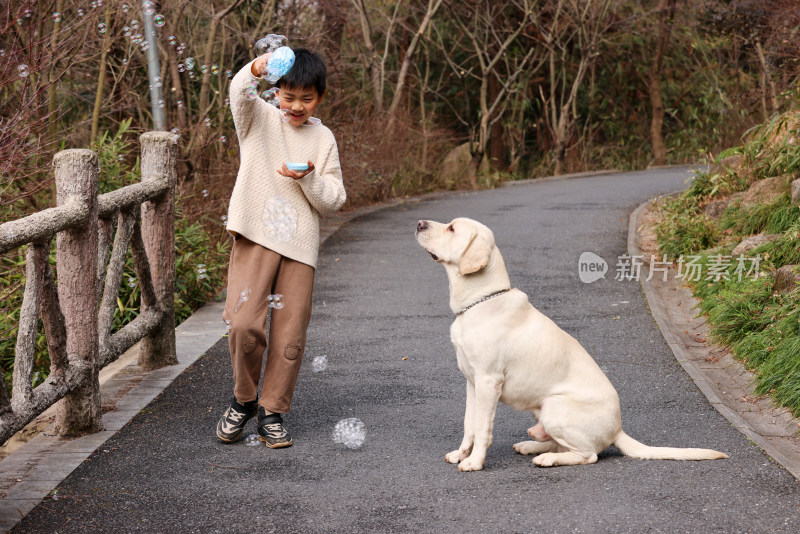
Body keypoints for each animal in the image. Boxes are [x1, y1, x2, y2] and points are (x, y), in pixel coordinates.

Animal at [416, 218, 728, 474]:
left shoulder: (488, 382)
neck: (480, 301)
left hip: (555, 408)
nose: (419, 223)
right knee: (561, 444)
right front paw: (461, 454)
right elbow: (469, 425)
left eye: (452, 228)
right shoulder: (472, 382)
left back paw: (546, 459)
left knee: (587, 455)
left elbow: (482, 428)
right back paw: (532, 446)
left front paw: (475, 462)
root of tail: (618, 430)